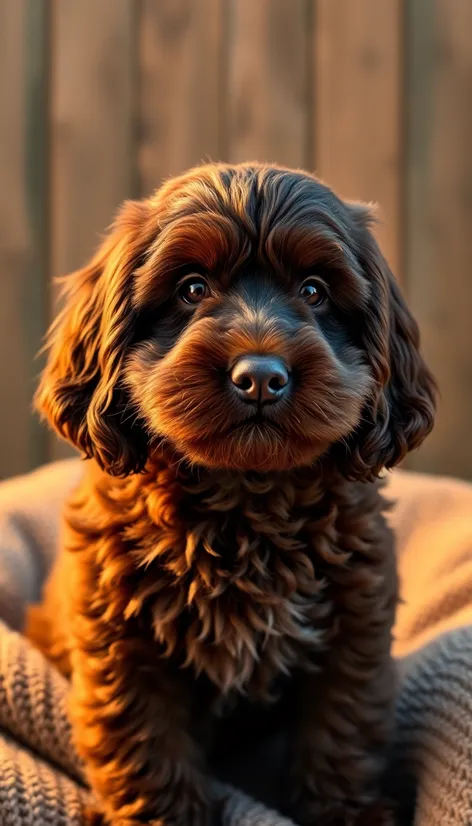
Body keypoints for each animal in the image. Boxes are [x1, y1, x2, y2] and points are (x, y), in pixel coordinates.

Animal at [28, 163, 436, 824]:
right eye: (192, 289)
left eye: (315, 292)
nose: (261, 377)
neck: (245, 496)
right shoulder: (122, 646)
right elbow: (146, 744)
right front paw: (160, 817)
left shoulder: (354, 626)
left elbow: (343, 727)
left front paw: (346, 811)